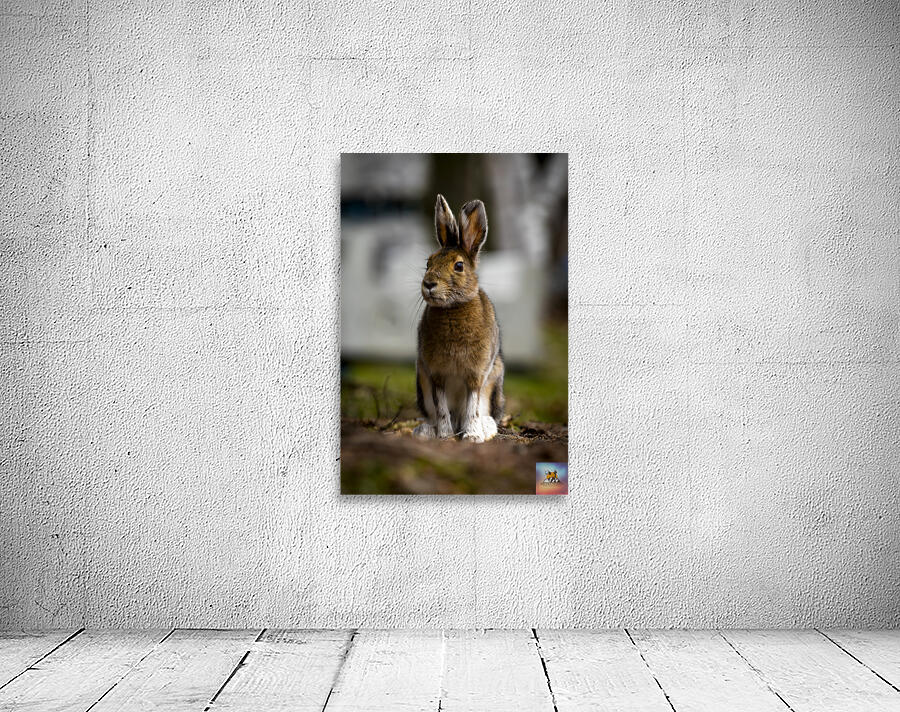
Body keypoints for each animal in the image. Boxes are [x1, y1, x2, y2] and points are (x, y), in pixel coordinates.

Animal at [413, 194, 505, 443]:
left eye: (459, 265)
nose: (429, 284)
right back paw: (425, 432)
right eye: (428, 263)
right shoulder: (436, 374)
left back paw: (485, 429)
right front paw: (444, 436)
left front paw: (472, 437)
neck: (452, 309)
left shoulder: (476, 374)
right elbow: (442, 408)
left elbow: (472, 406)